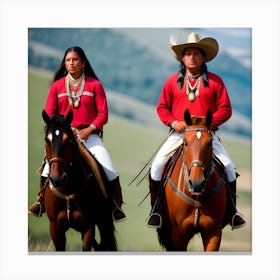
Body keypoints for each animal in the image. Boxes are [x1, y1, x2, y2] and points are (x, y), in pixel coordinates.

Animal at [41, 109, 116, 252]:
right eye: (47, 140)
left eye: (69, 140)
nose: (57, 179)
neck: (67, 190)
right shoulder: (55, 228)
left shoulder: (88, 227)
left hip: (104, 222)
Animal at [156, 109, 229, 252]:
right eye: (185, 142)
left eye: (209, 143)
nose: (196, 183)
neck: (196, 197)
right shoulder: (178, 235)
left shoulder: (213, 232)